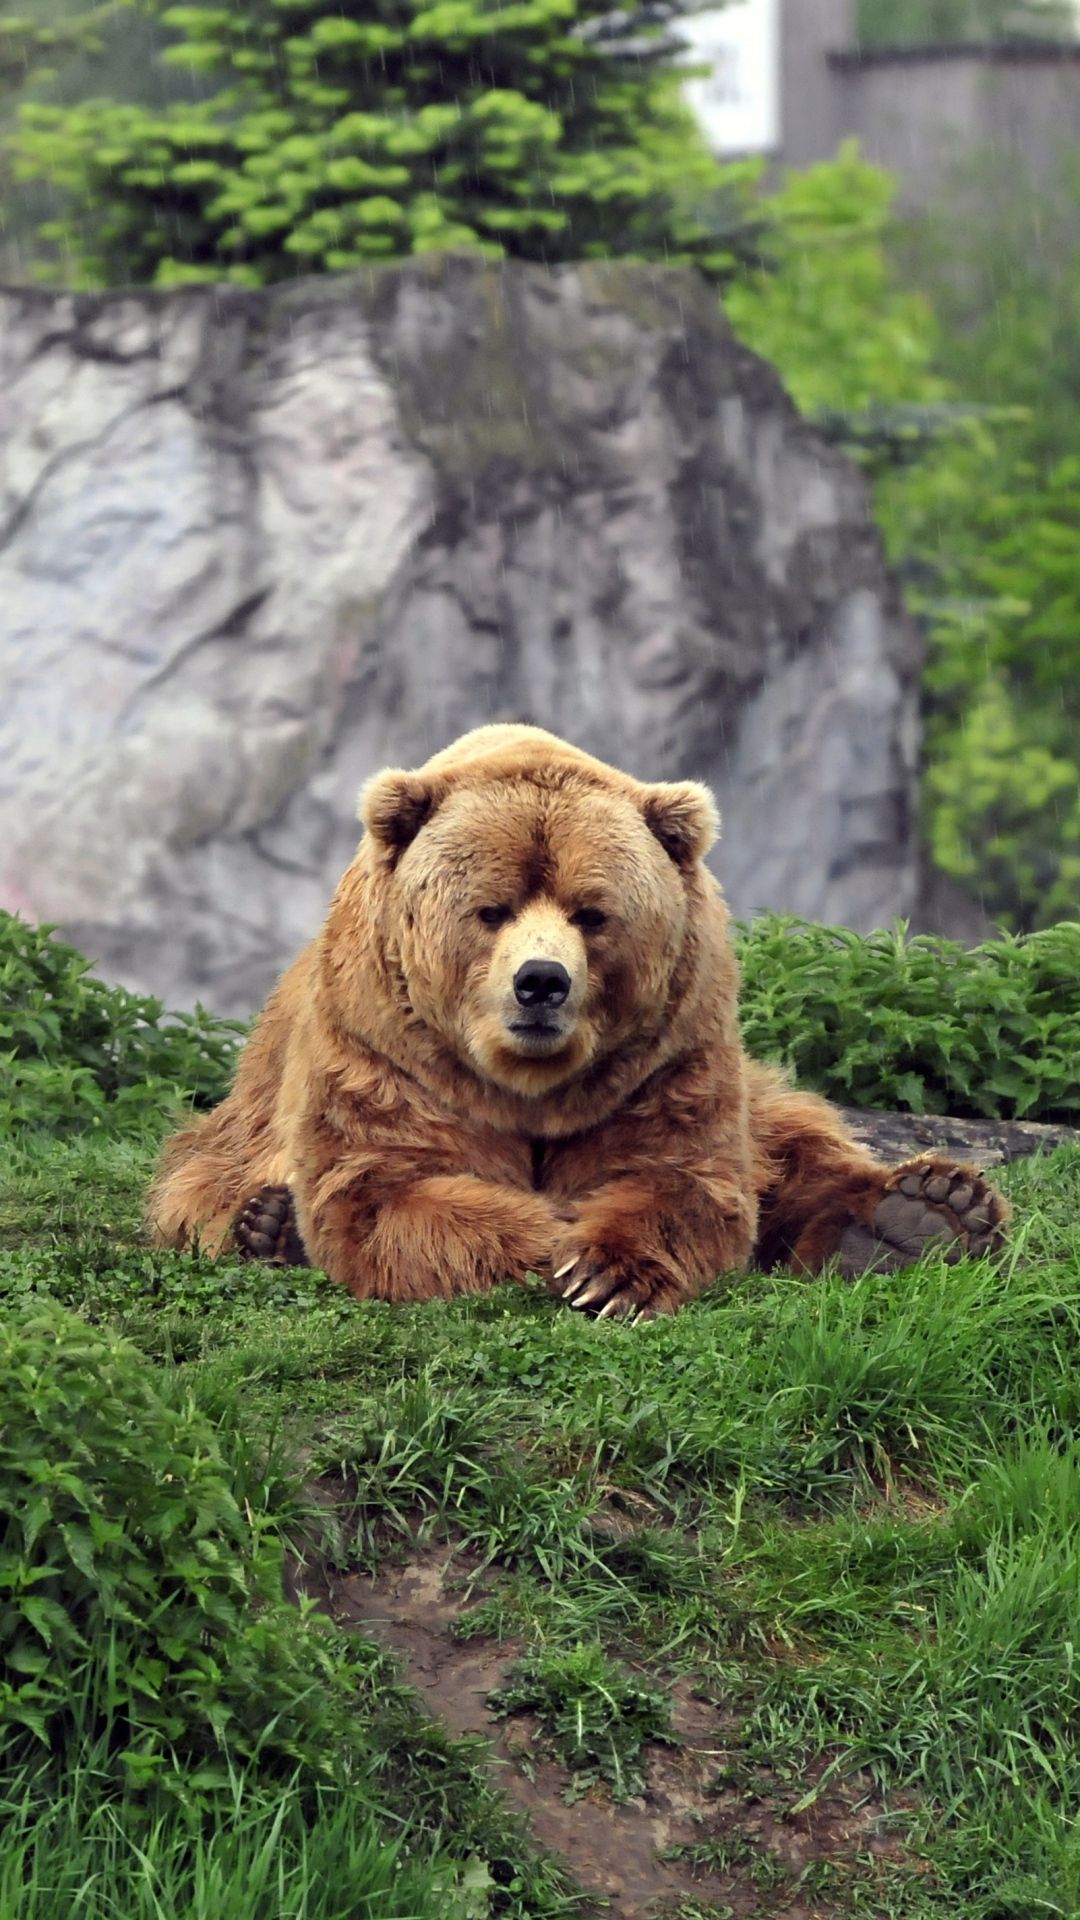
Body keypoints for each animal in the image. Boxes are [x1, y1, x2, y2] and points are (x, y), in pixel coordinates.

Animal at [147, 723, 1009, 1316]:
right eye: (490, 908)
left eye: (592, 912)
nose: (540, 983)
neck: (528, 1085)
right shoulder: (385, 1050)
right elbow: (390, 1189)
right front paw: (550, 1241)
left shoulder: (666, 1055)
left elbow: (685, 1178)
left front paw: (607, 1271)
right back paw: (267, 1227)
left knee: (796, 1141)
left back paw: (924, 1212)